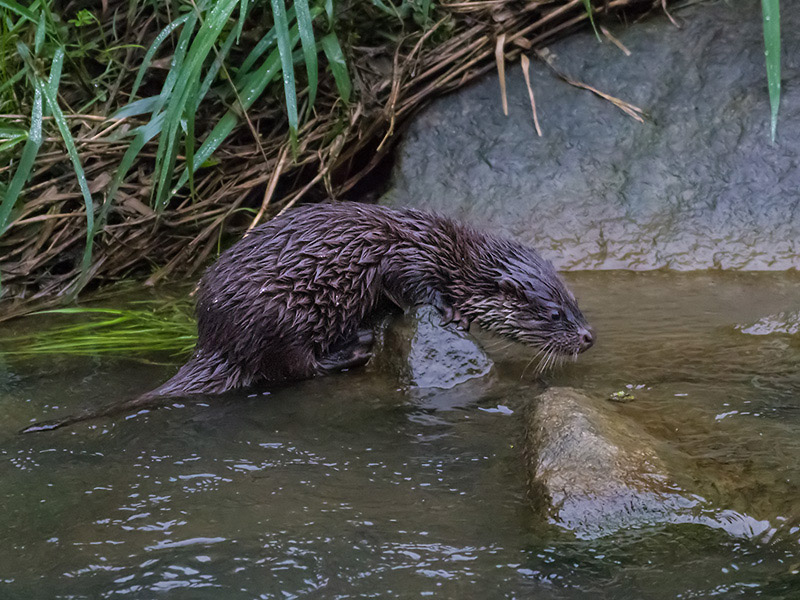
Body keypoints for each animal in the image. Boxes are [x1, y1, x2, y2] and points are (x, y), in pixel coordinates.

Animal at [20, 204, 592, 434]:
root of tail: (213, 339)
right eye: (554, 312)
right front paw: (451, 312)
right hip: (274, 318)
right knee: (291, 369)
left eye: (574, 299)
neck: (445, 250)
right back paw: (353, 348)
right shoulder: (404, 257)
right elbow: (409, 286)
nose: (588, 337)